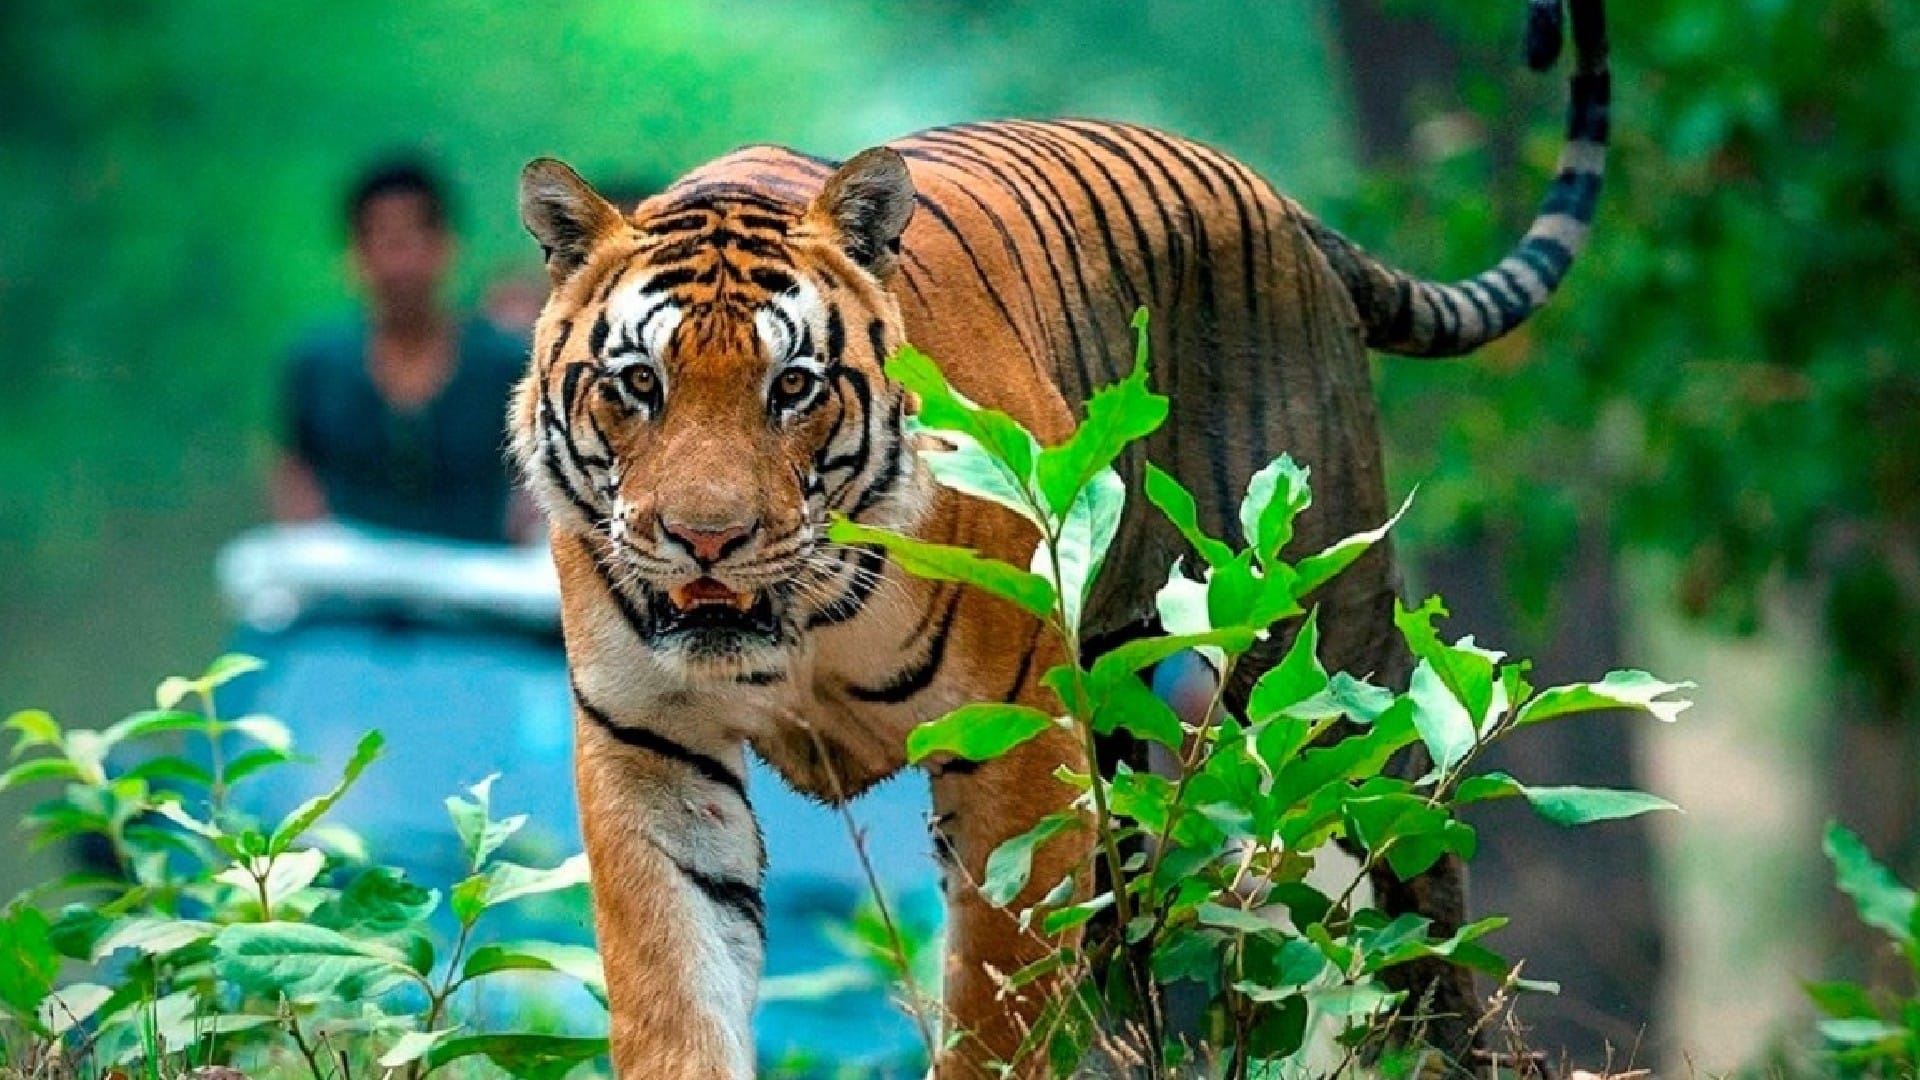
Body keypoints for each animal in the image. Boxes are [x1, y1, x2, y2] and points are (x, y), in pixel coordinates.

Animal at [509, 1, 1609, 1076]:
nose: (707, 540)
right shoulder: (651, 746)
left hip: (1324, 632)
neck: (800, 623)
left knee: (1410, 830)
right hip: (1121, 698)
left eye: (793, 387)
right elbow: (674, 986)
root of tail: (1286, 206)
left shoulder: (1019, 745)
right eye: (639, 382)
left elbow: (999, 1002)